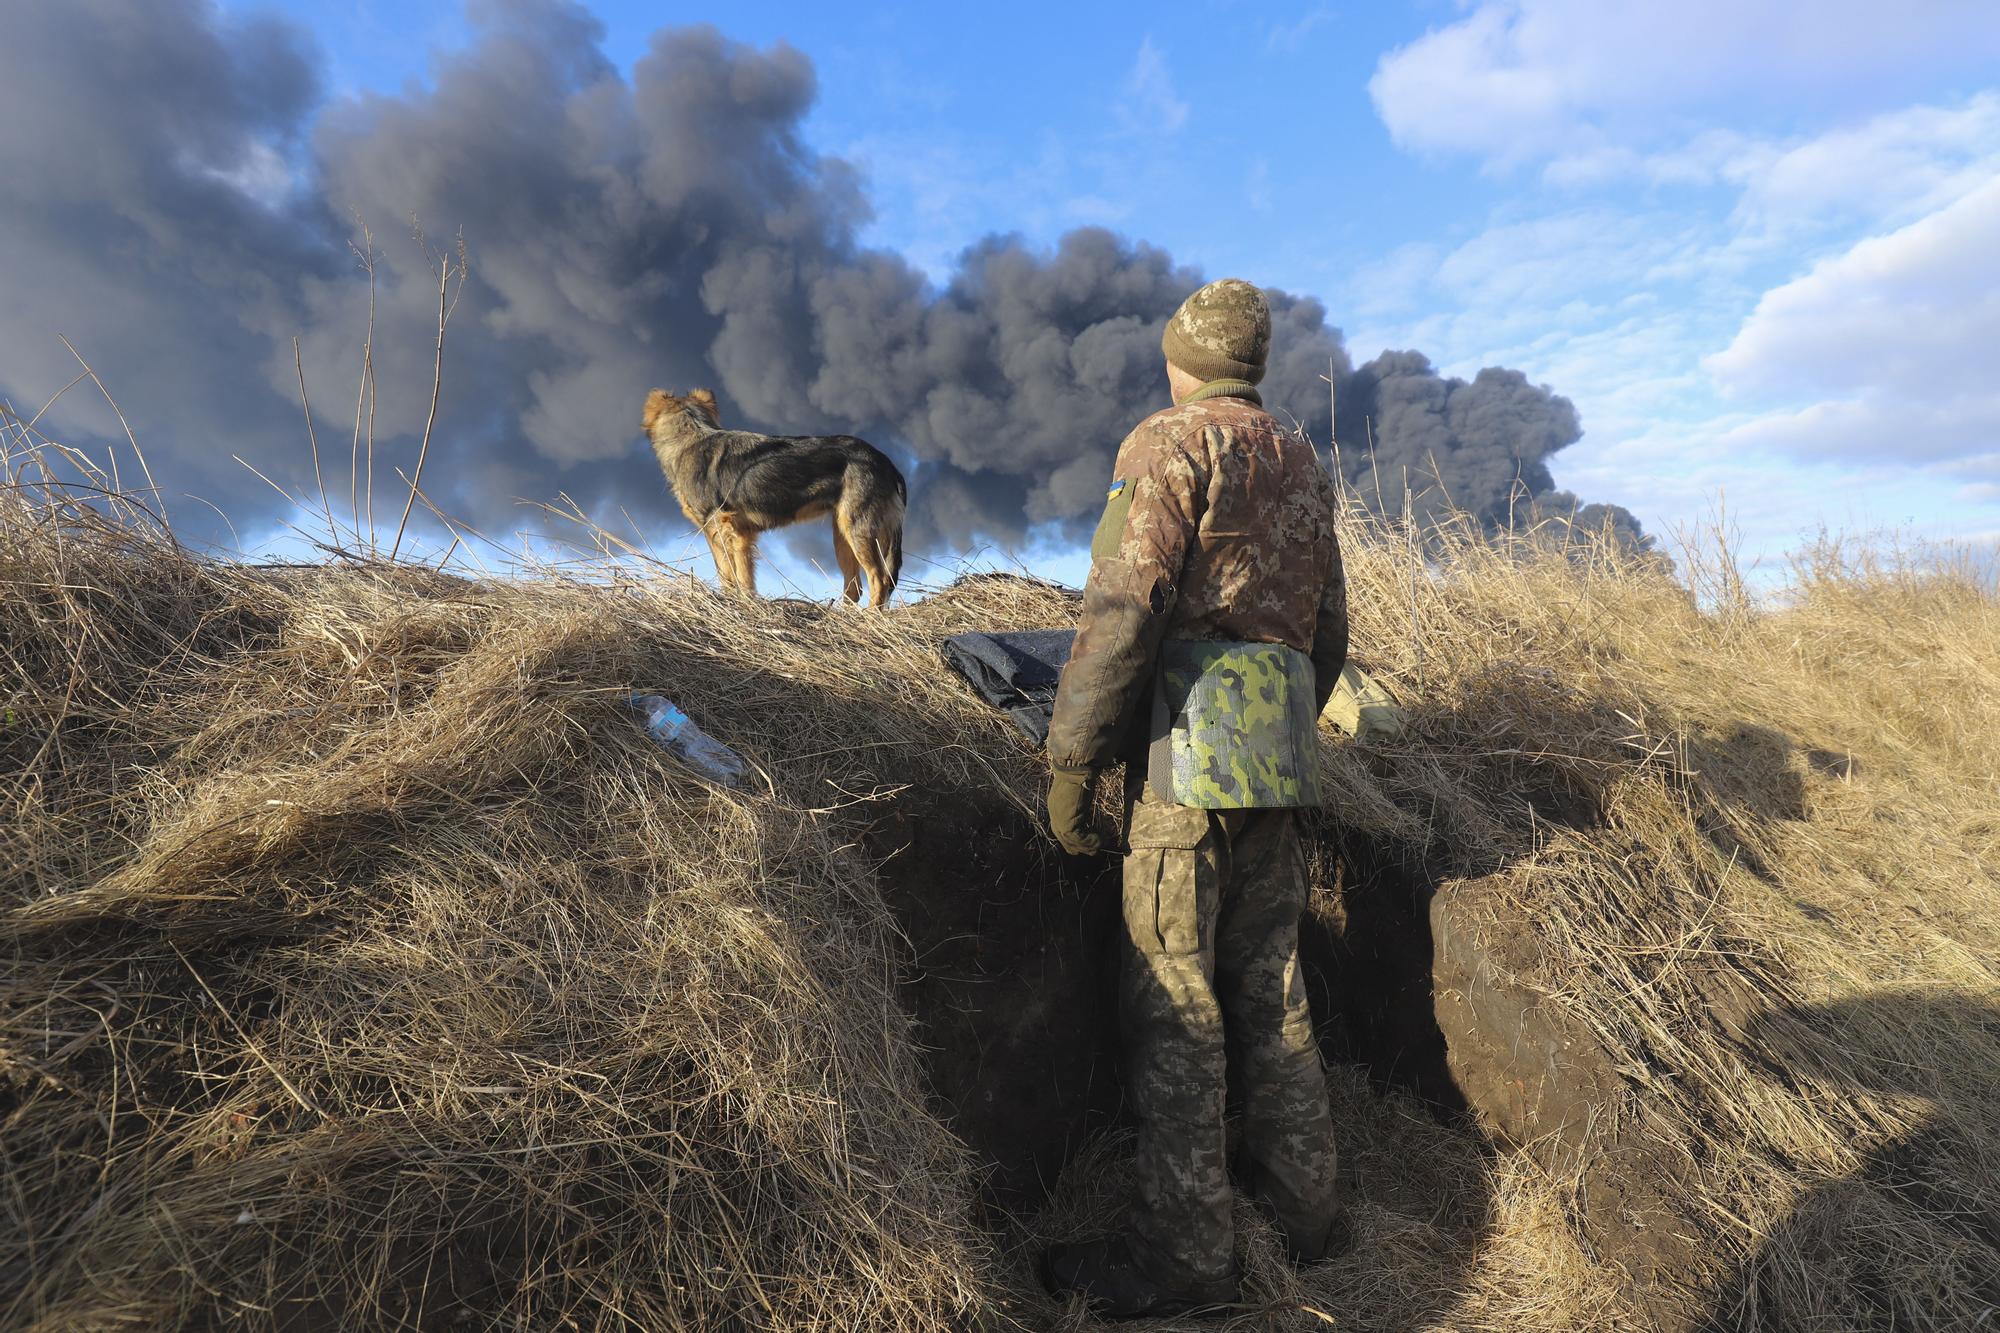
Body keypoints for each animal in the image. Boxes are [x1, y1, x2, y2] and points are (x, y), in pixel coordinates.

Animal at [640, 386, 908, 604]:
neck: (691, 435)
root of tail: (887, 464)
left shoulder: (719, 528)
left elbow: (729, 576)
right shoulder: (740, 535)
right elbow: (744, 577)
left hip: (858, 529)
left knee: (879, 580)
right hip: (842, 534)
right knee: (855, 588)